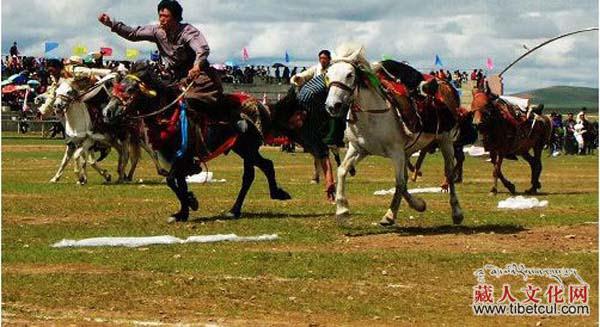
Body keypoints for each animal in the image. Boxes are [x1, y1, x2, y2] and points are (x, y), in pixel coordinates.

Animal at [324, 43, 464, 227]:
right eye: (327, 75)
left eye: (349, 74)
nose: (332, 106)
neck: (372, 114)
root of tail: (444, 85)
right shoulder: (358, 149)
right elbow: (342, 170)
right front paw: (342, 210)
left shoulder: (396, 152)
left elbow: (399, 182)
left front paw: (390, 215)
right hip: (409, 151)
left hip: (445, 141)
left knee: (449, 173)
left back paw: (457, 213)